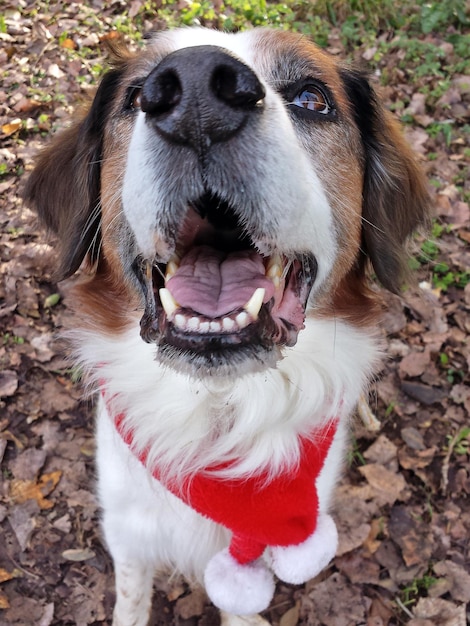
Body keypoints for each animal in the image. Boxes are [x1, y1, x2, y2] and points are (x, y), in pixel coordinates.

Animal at [24, 26, 430, 620]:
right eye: (136, 94)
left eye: (312, 98)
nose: (196, 94)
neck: (217, 413)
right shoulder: (129, 532)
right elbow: (131, 599)